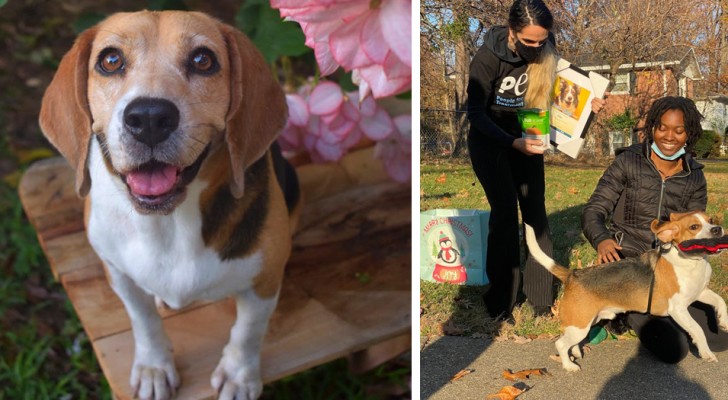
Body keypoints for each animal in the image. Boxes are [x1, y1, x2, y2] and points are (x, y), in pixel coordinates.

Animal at [36, 10, 298, 400]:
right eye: (110, 60)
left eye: (203, 60)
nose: (148, 118)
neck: (170, 222)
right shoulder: (118, 273)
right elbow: (143, 321)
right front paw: (153, 368)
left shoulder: (262, 282)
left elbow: (248, 332)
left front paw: (239, 376)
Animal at [528, 212, 724, 372]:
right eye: (694, 227)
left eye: (710, 220)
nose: (718, 229)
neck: (692, 261)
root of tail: (573, 274)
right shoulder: (678, 309)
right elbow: (697, 329)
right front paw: (706, 353)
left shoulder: (700, 293)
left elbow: (721, 301)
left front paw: (723, 322)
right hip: (580, 326)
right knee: (561, 344)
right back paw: (569, 366)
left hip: (587, 322)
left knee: (570, 342)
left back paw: (575, 354)